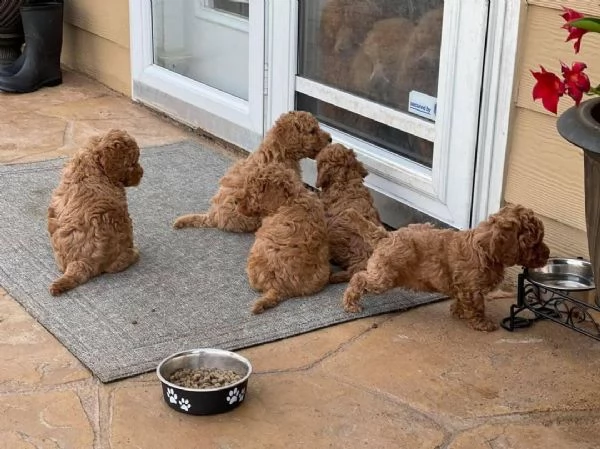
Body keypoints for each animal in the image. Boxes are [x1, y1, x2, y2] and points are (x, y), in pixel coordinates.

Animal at [236, 163, 330, 314]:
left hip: (255, 258)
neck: (291, 199)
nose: (235, 201)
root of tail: (279, 288)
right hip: (322, 275)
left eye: (251, 193)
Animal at [338, 204, 548, 328]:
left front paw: (458, 312)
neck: (484, 249)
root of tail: (386, 236)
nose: (547, 255)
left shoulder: (463, 287)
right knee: (359, 278)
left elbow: (461, 301)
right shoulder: (472, 288)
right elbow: (477, 306)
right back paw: (350, 303)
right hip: (385, 276)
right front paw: (482, 324)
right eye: (535, 243)